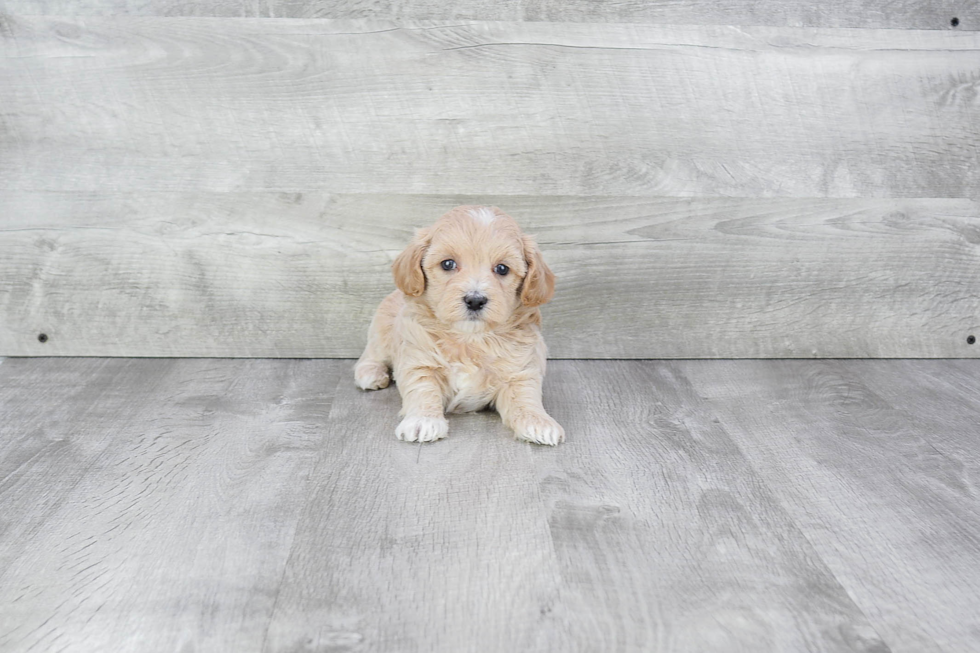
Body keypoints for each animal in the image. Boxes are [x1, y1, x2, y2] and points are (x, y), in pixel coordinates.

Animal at [356, 206, 564, 446]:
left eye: (502, 268)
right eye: (448, 264)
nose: (475, 300)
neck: (469, 338)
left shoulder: (521, 370)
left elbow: (525, 395)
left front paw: (538, 422)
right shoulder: (418, 360)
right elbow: (422, 389)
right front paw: (423, 421)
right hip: (381, 330)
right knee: (372, 354)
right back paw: (370, 373)